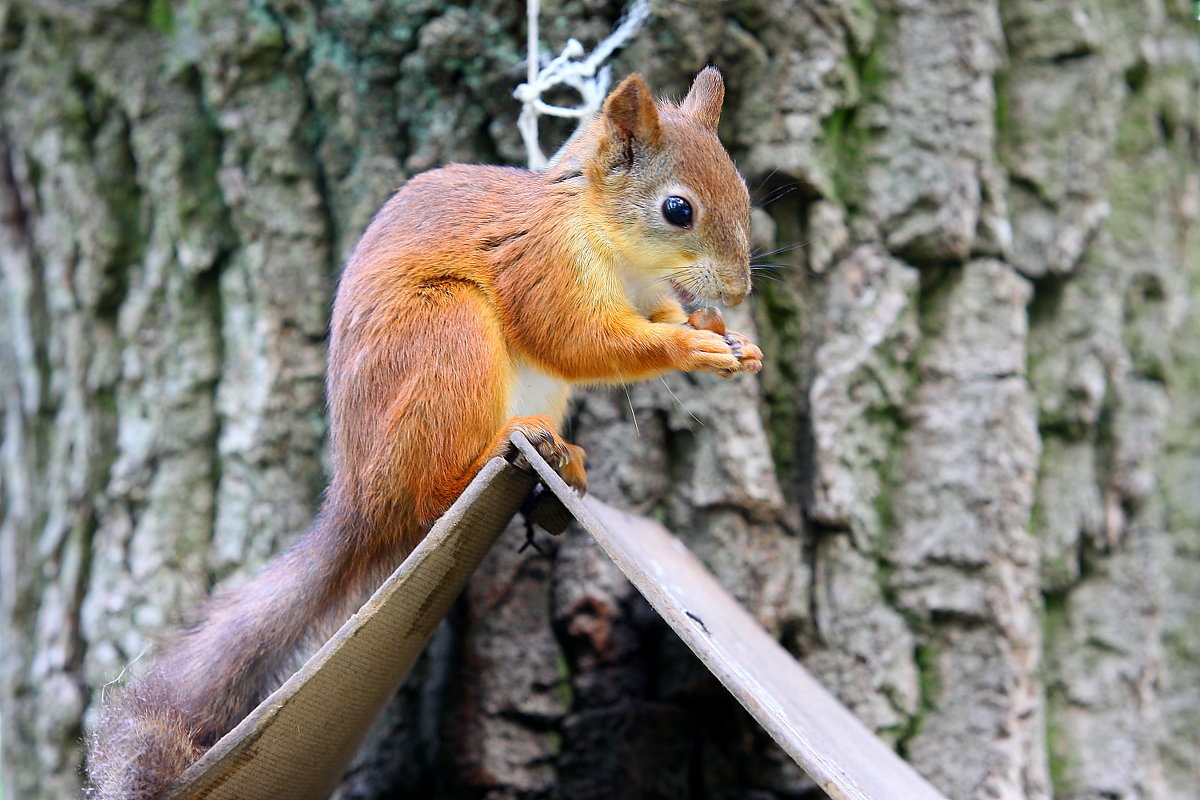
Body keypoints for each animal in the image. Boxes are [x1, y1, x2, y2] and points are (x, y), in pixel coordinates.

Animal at [87, 67, 758, 800]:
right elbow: (579, 341)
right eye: (678, 209)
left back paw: (565, 458)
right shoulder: (544, 265)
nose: (740, 292)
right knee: (435, 490)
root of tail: (360, 498)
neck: (610, 241)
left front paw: (723, 335)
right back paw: (506, 447)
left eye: (744, 191)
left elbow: (652, 316)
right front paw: (690, 347)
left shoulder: (642, 291)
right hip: (447, 333)